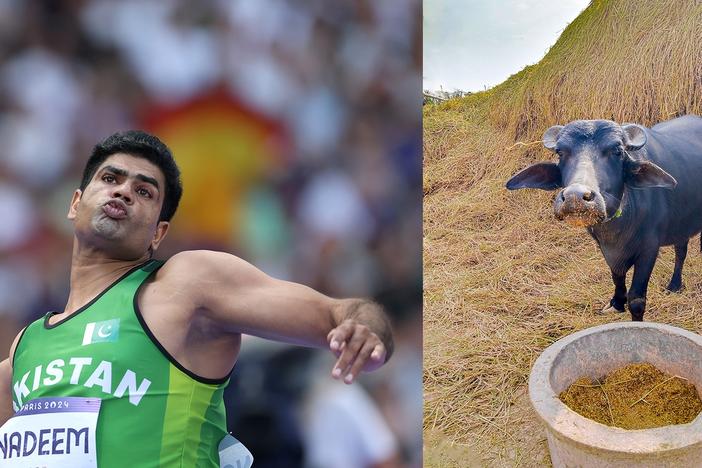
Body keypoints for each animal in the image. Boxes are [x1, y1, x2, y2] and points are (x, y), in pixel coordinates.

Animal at [508, 116, 702, 322]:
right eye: (560, 152)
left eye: (617, 151)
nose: (575, 197)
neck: (618, 229)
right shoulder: (605, 248)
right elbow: (616, 277)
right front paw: (617, 302)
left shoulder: (649, 249)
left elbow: (636, 298)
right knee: (681, 249)